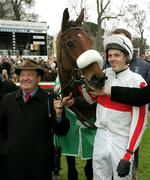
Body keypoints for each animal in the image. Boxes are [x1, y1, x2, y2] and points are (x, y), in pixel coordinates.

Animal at [53, 8, 106, 180]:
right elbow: (72, 172)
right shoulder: (68, 140)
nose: (98, 78)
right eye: (70, 43)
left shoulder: (92, 140)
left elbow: (90, 170)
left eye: (89, 42)